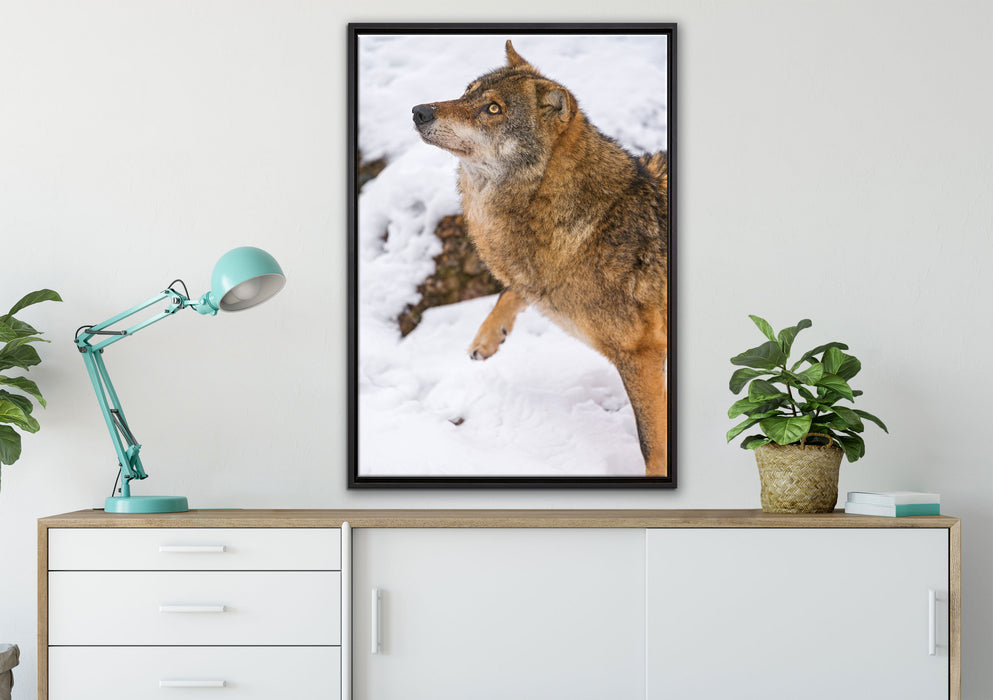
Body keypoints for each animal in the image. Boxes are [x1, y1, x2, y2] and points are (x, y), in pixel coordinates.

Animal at [412, 41, 670, 477]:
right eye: (466, 93)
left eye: (493, 109)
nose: (419, 111)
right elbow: (512, 289)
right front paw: (487, 337)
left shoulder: (642, 356)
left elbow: (652, 445)